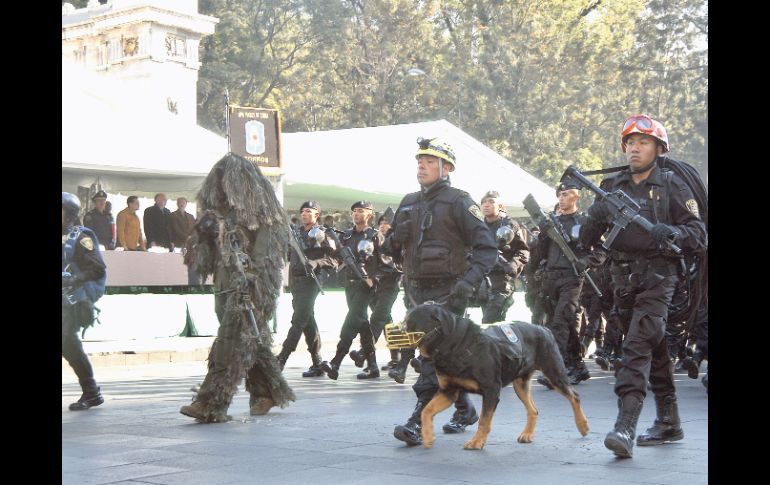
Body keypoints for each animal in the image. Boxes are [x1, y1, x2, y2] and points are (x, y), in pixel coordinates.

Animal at [404, 302, 592, 450]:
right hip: (520, 383)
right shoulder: (448, 391)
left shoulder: (491, 390)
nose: (399, 330)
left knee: (574, 396)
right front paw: (428, 435)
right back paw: (527, 434)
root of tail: (543, 328)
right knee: (533, 409)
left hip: (554, 373)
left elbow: (484, 420)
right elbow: (426, 410)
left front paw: (477, 441)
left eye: (411, 325)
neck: (454, 346)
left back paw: (582, 425)